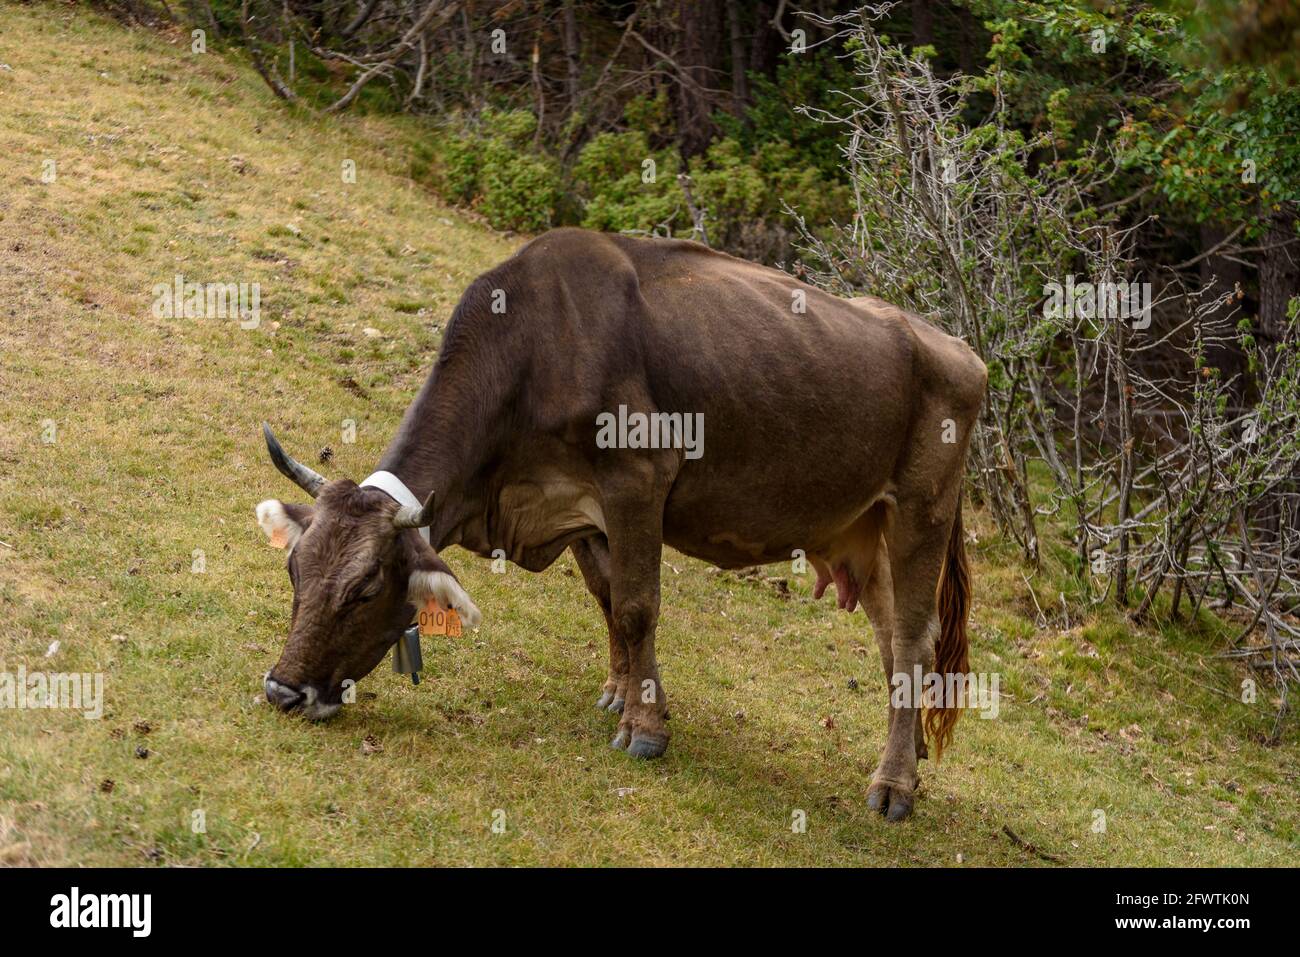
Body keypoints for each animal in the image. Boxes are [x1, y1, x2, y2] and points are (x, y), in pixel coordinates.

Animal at [256, 226, 982, 821]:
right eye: (296, 569)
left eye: (366, 589)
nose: (283, 689)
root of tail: (955, 346)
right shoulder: (582, 508)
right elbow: (608, 597)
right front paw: (623, 691)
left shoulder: (637, 478)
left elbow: (636, 605)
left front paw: (645, 728)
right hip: (865, 532)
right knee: (892, 639)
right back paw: (913, 752)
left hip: (923, 512)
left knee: (913, 638)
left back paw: (893, 785)